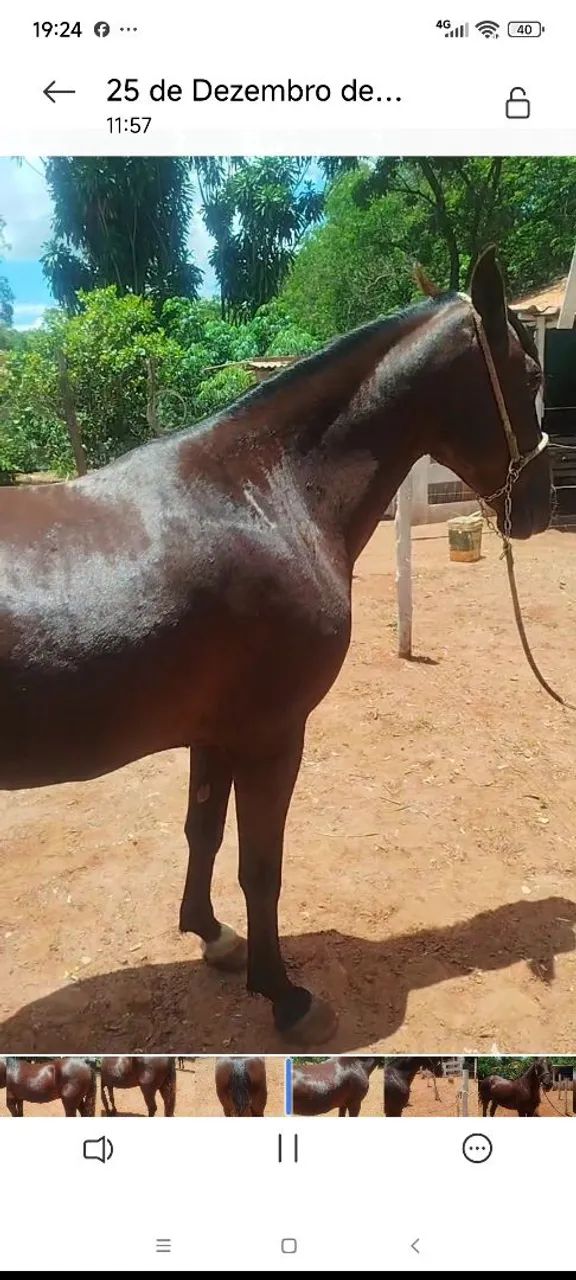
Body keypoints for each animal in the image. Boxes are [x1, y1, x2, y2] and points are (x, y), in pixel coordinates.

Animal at [0, 247, 551, 1044]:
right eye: (532, 375)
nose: (540, 504)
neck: (264, 494)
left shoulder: (216, 732)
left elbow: (202, 830)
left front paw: (211, 936)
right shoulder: (272, 734)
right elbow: (261, 866)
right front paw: (284, 995)